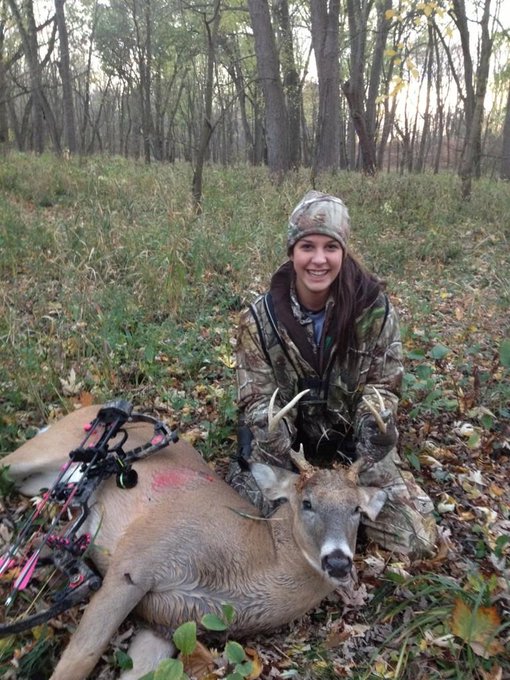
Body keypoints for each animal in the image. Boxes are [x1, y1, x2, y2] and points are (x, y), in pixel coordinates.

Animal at [0, 393, 387, 680]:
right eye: (306, 502)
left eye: (356, 509)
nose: (338, 561)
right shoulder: (136, 562)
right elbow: (78, 659)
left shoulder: (165, 625)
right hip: (39, 451)